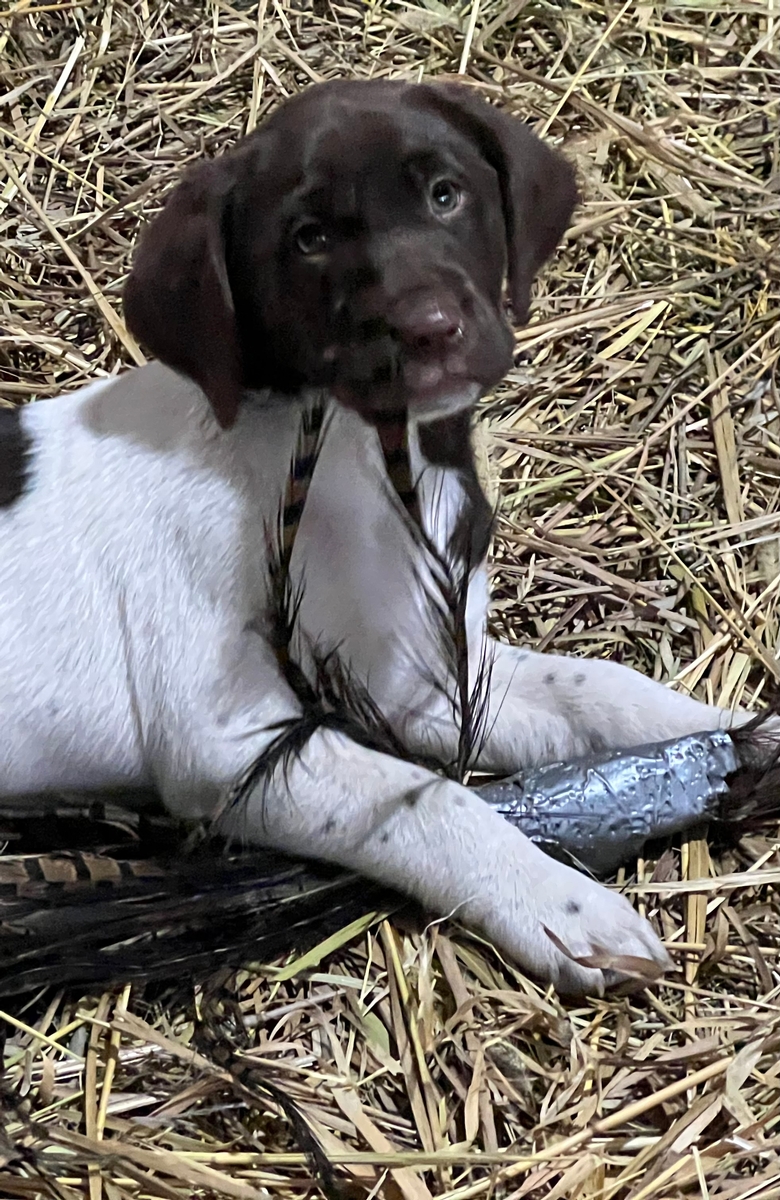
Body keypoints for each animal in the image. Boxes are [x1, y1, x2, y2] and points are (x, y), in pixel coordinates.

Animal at [0, 79, 746, 994]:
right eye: (309, 240)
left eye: (446, 195)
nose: (430, 328)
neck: (365, 460)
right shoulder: (233, 749)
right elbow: (435, 804)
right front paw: (559, 905)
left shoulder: (418, 677)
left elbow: (599, 689)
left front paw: (733, 732)